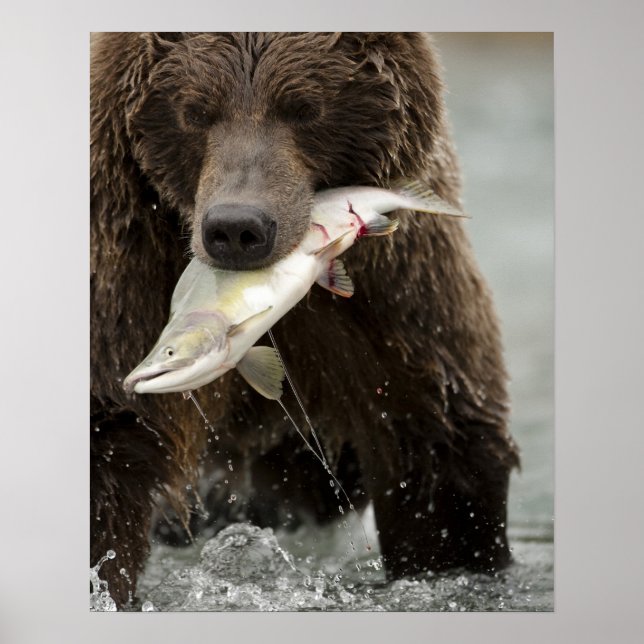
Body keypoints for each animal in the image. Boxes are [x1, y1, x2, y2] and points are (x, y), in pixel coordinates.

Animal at [90, 32, 520, 608]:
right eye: (195, 110)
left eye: (304, 106)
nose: (237, 228)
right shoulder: (127, 263)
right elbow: (111, 445)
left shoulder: (399, 295)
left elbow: (437, 446)